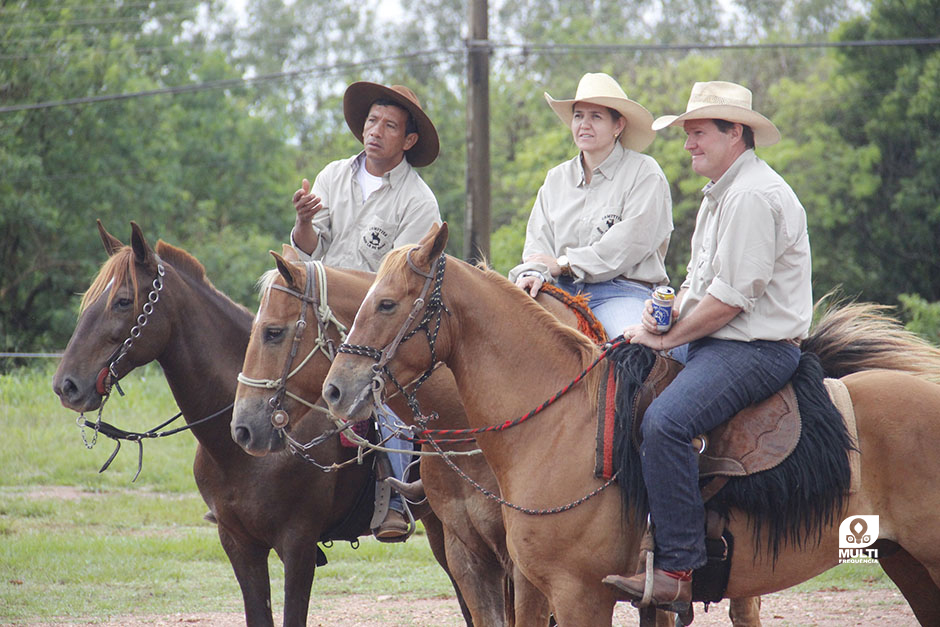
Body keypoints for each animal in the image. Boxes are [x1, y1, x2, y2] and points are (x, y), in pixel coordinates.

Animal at [51, 222, 470, 627]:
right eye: (89, 301)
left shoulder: (298, 544)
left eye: (123, 301)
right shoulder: (239, 544)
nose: (66, 385)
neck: (237, 454)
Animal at [324, 224, 940, 627]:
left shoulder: (579, 595)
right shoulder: (515, 578)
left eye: (386, 303)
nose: (336, 389)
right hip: (908, 564)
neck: (558, 424)